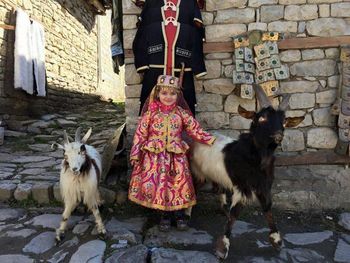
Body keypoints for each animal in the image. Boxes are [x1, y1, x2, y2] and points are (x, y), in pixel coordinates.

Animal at [190, 84, 304, 260]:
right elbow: (235, 212)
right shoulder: (242, 187)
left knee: (218, 188)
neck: (256, 159)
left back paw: (223, 208)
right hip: (199, 173)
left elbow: (267, 207)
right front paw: (223, 247)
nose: (279, 135)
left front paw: (276, 240)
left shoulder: (263, 186)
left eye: (284, 120)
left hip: (217, 175)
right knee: (195, 188)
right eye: (262, 118)